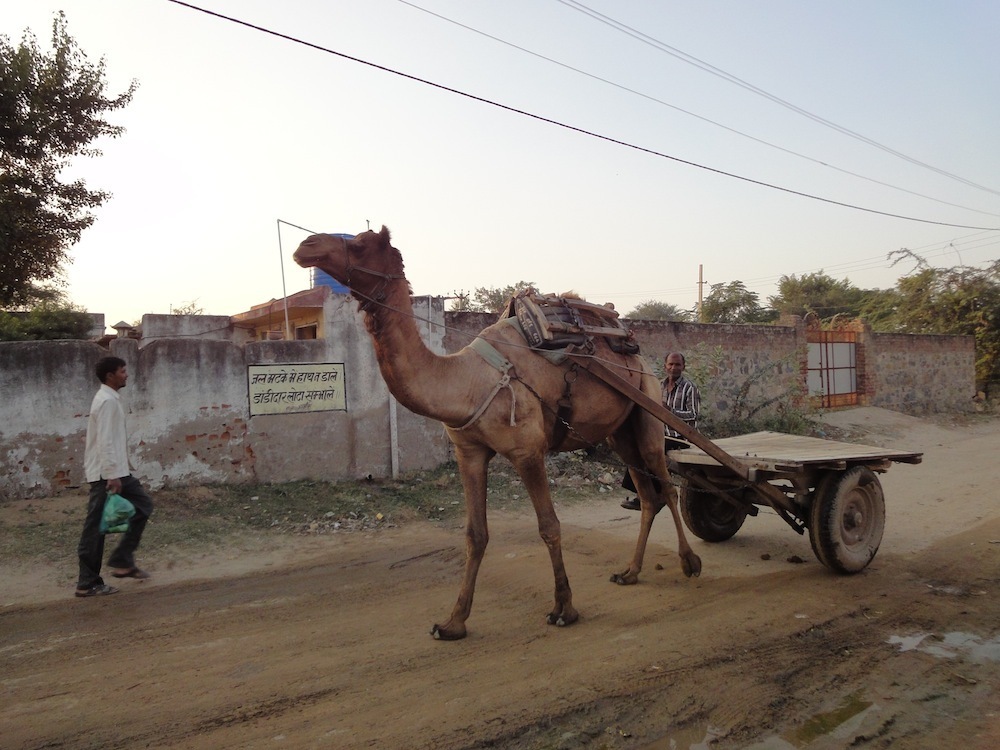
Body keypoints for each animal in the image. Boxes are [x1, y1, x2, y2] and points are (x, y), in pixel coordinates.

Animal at [292, 225, 700, 640]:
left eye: (359, 244)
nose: (306, 246)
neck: (468, 381)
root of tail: (636, 351)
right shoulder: (469, 452)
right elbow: (475, 534)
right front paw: (453, 622)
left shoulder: (527, 450)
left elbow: (549, 526)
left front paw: (563, 609)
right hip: (620, 431)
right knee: (646, 492)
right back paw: (629, 572)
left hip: (648, 404)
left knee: (665, 484)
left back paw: (689, 562)